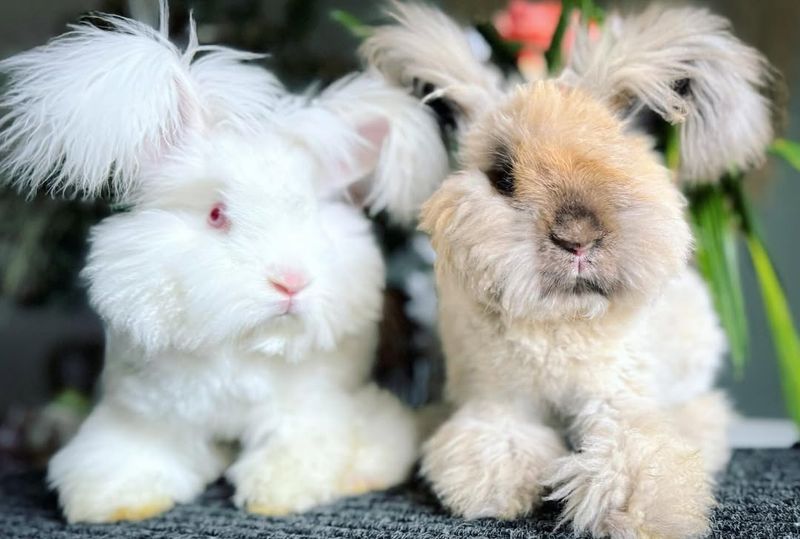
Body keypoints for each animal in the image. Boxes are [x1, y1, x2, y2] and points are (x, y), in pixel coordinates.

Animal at [0, 0, 450, 524]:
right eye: (217, 214)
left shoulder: (311, 406)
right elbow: (129, 455)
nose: (290, 282)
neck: (242, 343)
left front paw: (276, 494)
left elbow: (304, 445)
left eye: (312, 216)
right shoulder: (144, 413)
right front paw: (113, 503)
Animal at [364, 4, 776, 539]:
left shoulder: (616, 397)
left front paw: (644, 515)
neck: (561, 319)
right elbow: (496, 445)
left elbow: (632, 451)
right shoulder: (499, 398)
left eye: (618, 160)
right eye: (502, 176)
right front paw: (499, 492)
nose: (577, 237)